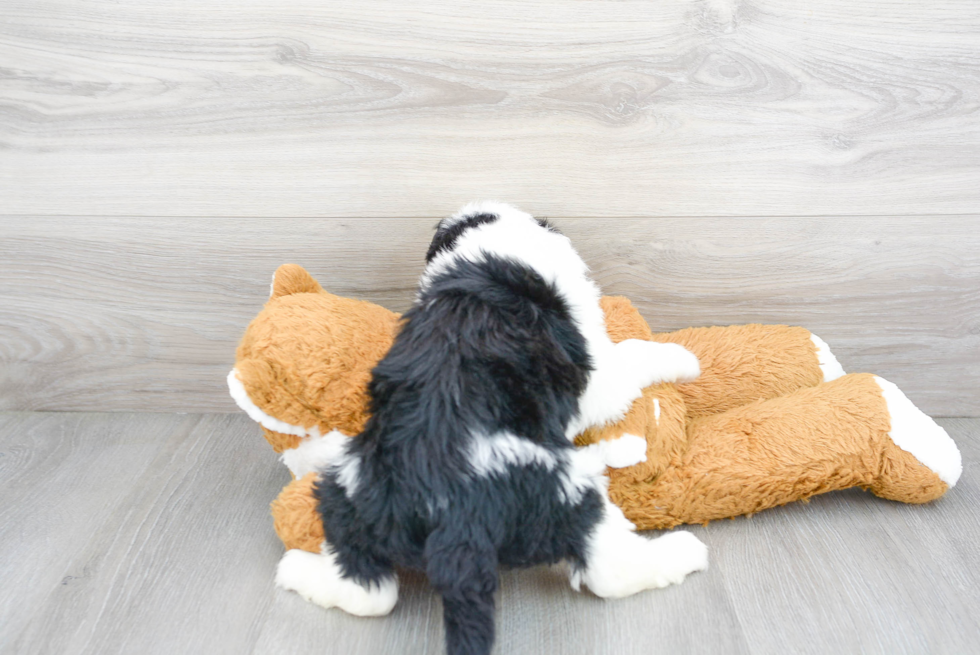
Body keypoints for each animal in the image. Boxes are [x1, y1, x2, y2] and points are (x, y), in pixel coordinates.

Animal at [278, 204, 712, 655]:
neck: (496, 252)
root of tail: (448, 512)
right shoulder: (596, 380)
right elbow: (631, 353)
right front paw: (684, 357)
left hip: (346, 493)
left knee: (370, 592)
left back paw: (296, 570)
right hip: (564, 490)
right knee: (608, 571)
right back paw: (682, 552)